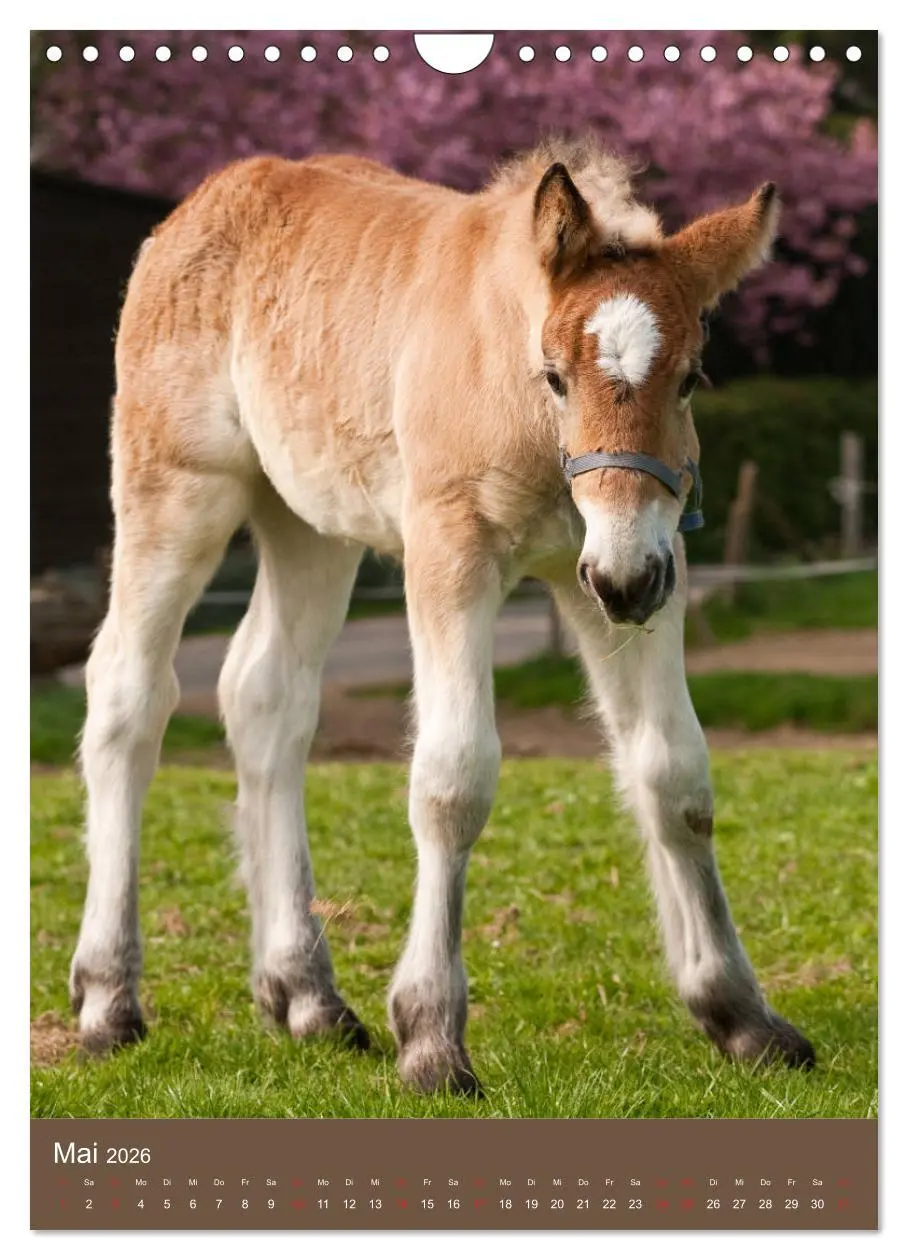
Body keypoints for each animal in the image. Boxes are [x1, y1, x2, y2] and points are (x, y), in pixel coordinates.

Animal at [69, 138, 815, 1094]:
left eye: (691, 378)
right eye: (555, 375)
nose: (623, 584)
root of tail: (206, 200)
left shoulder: (639, 566)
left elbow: (675, 775)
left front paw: (743, 1018)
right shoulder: (449, 550)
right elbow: (453, 778)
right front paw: (431, 1039)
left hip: (309, 522)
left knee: (267, 697)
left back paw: (306, 998)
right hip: (177, 485)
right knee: (128, 693)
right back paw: (108, 1002)